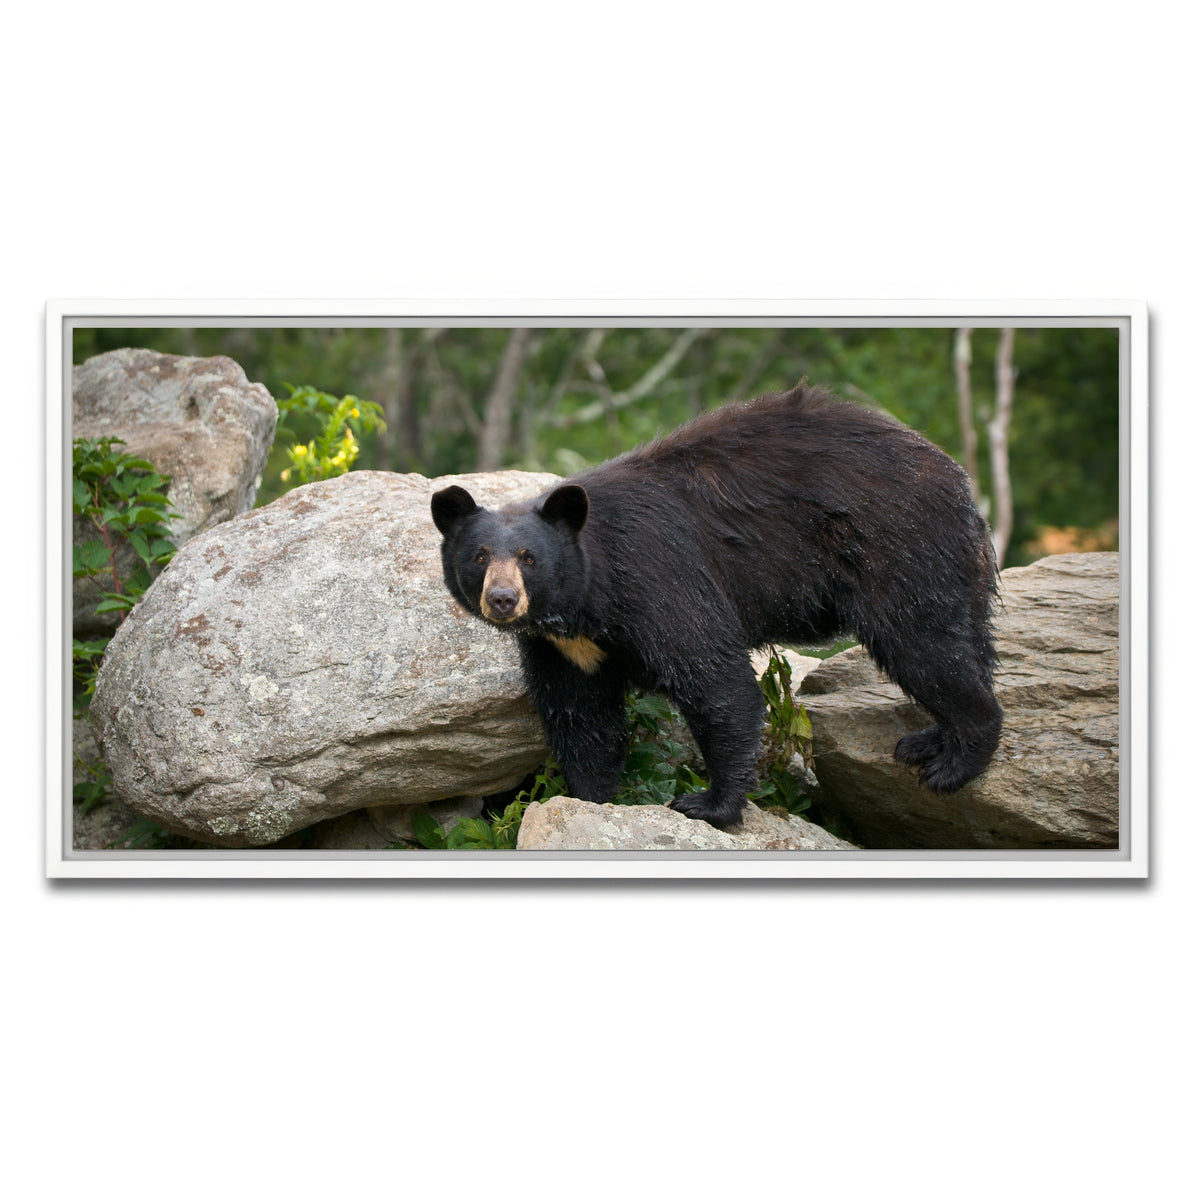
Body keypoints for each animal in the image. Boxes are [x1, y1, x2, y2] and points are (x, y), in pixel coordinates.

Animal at [431, 382, 1002, 831]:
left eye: (528, 558)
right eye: (480, 556)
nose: (503, 599)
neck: (586, 602)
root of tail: (958, 480)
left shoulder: (657, 577)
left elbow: (714, 680)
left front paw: (709, 804)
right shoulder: (562, 647)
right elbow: (581, 717)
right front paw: (590, 797)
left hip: (898, 548)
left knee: (924, 645)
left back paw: (954, 761)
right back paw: (929, 741)